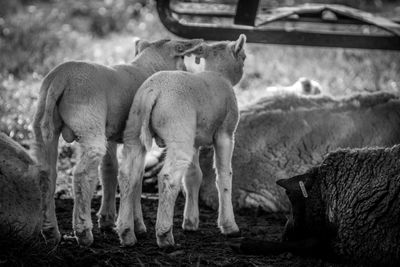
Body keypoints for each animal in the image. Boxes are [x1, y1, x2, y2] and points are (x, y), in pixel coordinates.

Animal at [32, 37, 203, 247]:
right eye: (183, 60)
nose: (188, 74)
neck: (148, 66)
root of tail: (60, 78)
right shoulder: (138, 139)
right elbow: (136, 178)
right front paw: (137, 225)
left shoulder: (111, 134)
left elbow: (109, 170)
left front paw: (107, 219)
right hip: (89, 126)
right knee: (81, 175)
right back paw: (83, 232)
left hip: (44, 126)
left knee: (46, 174)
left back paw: (51, 231)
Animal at [119, 34, 247, 248]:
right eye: (243, 57)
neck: (219, 74)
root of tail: (154, 91)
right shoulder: (225, 133)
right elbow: (224, 176)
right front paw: (229, 226)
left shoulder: (194, 140)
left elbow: (193, 176)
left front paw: (190, 222)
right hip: (178, 133)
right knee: (168, 178)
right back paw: (164, 235)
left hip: (136, 131)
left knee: (128, 175)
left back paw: (126, 233)